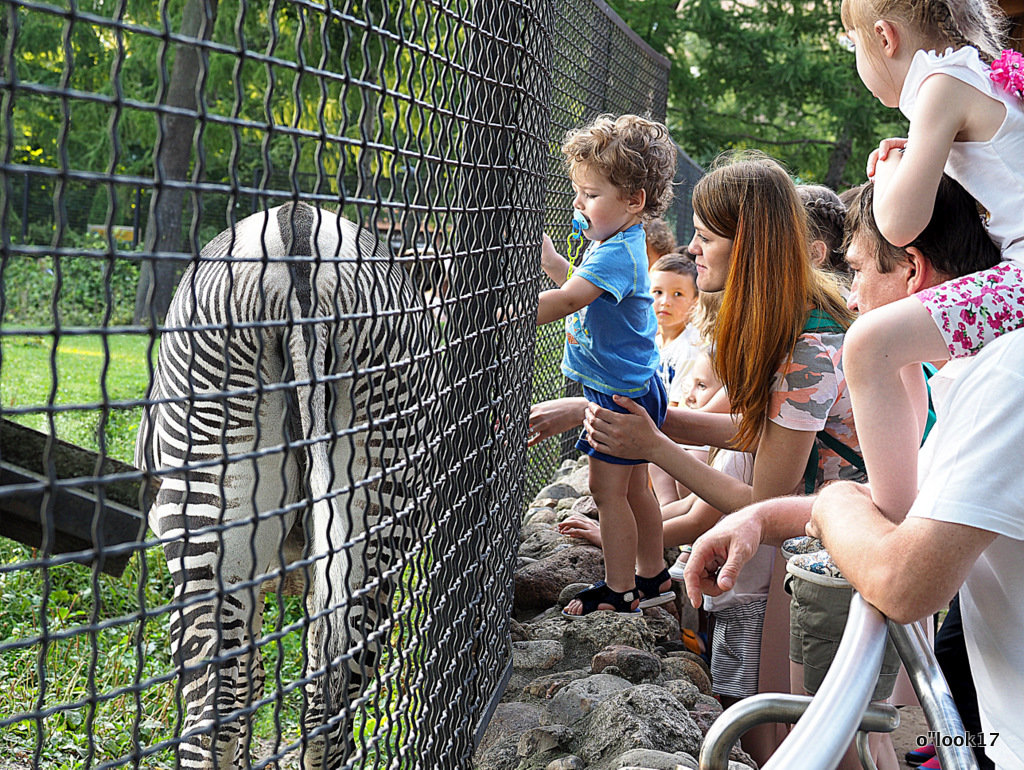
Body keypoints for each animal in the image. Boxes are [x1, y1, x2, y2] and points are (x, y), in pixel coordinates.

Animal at [136, 201, 436, 765]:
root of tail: (296, 229)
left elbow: (247, 679)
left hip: (203, 499)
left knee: (211, 713)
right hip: (377, 485)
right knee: (331, 699)